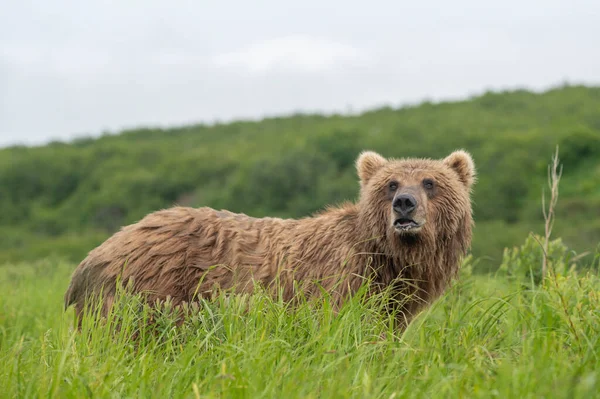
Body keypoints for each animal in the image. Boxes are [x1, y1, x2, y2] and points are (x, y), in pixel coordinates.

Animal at [65, 150, 476, 328]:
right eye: (390, 183)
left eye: (430, 182)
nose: (404, 203)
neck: (392, 257)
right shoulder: (341, 280)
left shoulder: (394, 297)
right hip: (150, 289)